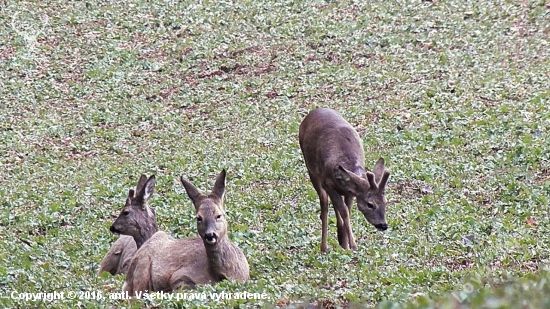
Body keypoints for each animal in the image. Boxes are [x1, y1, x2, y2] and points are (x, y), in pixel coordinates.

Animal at [300, 107, 390, 251]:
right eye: (370, 204)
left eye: (385, 202)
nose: (383, 225)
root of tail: (314, 111)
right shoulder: (327, 184)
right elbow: (344, 211)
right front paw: (353, 245)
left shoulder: (350, 192)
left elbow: (346, 210)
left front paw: (346, 244)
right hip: (312, 171)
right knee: (324, 205)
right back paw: (324, 247)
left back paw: (340, 235)